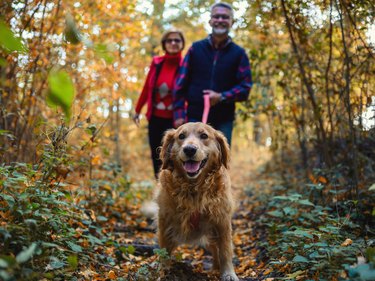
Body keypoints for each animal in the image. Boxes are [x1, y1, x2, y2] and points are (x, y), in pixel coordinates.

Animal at [156, 122, 239, 280]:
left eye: (204, 136)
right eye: (181, 136)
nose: (189, 149)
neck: (193, 188)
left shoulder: (222, 221)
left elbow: (225, 251)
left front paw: (228, 274)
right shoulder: (165, 221)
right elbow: (164, 250)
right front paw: (162, 270)